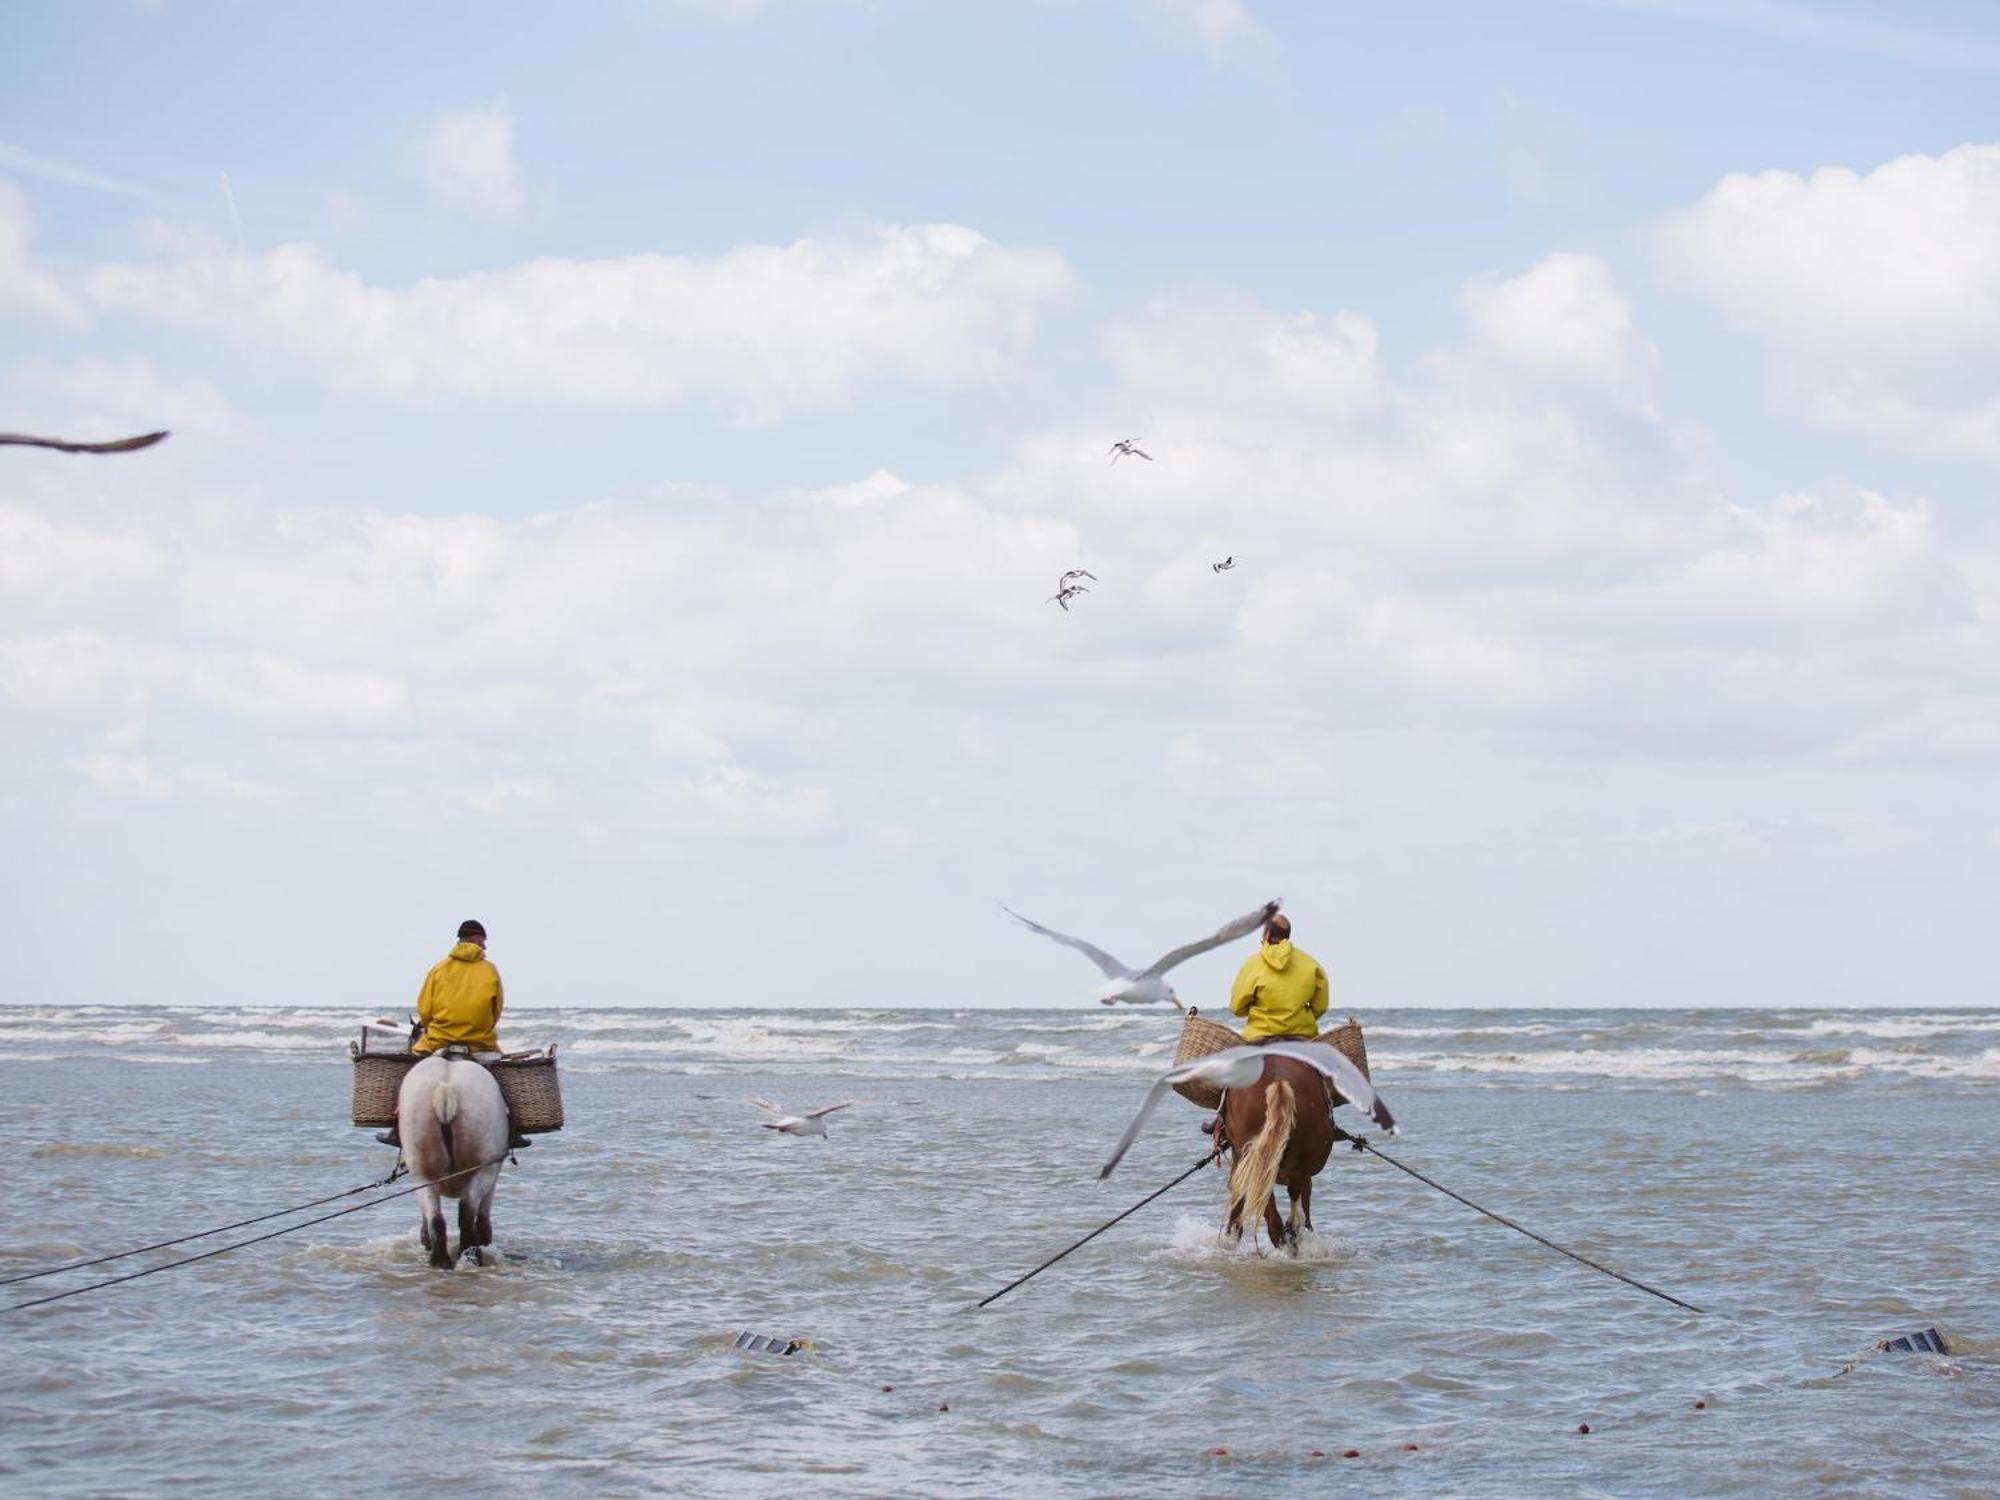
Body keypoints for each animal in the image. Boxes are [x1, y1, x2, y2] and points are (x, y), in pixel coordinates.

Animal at [394, 1056, 508, 1272]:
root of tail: (446, 1087)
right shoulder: (493, 1172)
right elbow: (484, 1211)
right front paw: (485, 1238)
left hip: (422, 1168)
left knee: (435, 1216)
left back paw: (441, 1261)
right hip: (483, 1167)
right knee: (467, 1212)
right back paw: (471, 1256)